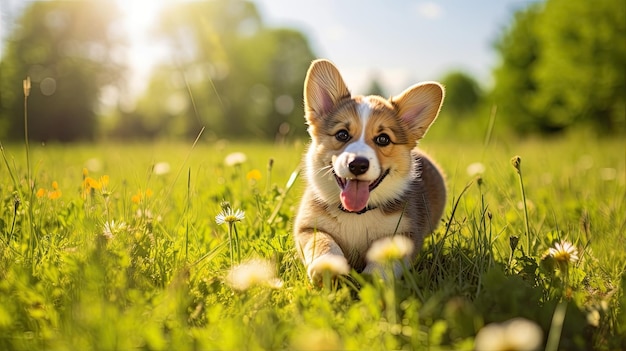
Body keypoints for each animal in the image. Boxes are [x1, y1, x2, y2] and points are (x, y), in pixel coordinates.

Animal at [292, 58, 444, 284]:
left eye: (383, 139)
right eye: (342, 134)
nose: (357, 164)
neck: (356, 214)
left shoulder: (404, 235)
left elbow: (385, 257)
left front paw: (374, 279)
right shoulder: (308, 226)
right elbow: (323, 241)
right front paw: (327, 266)